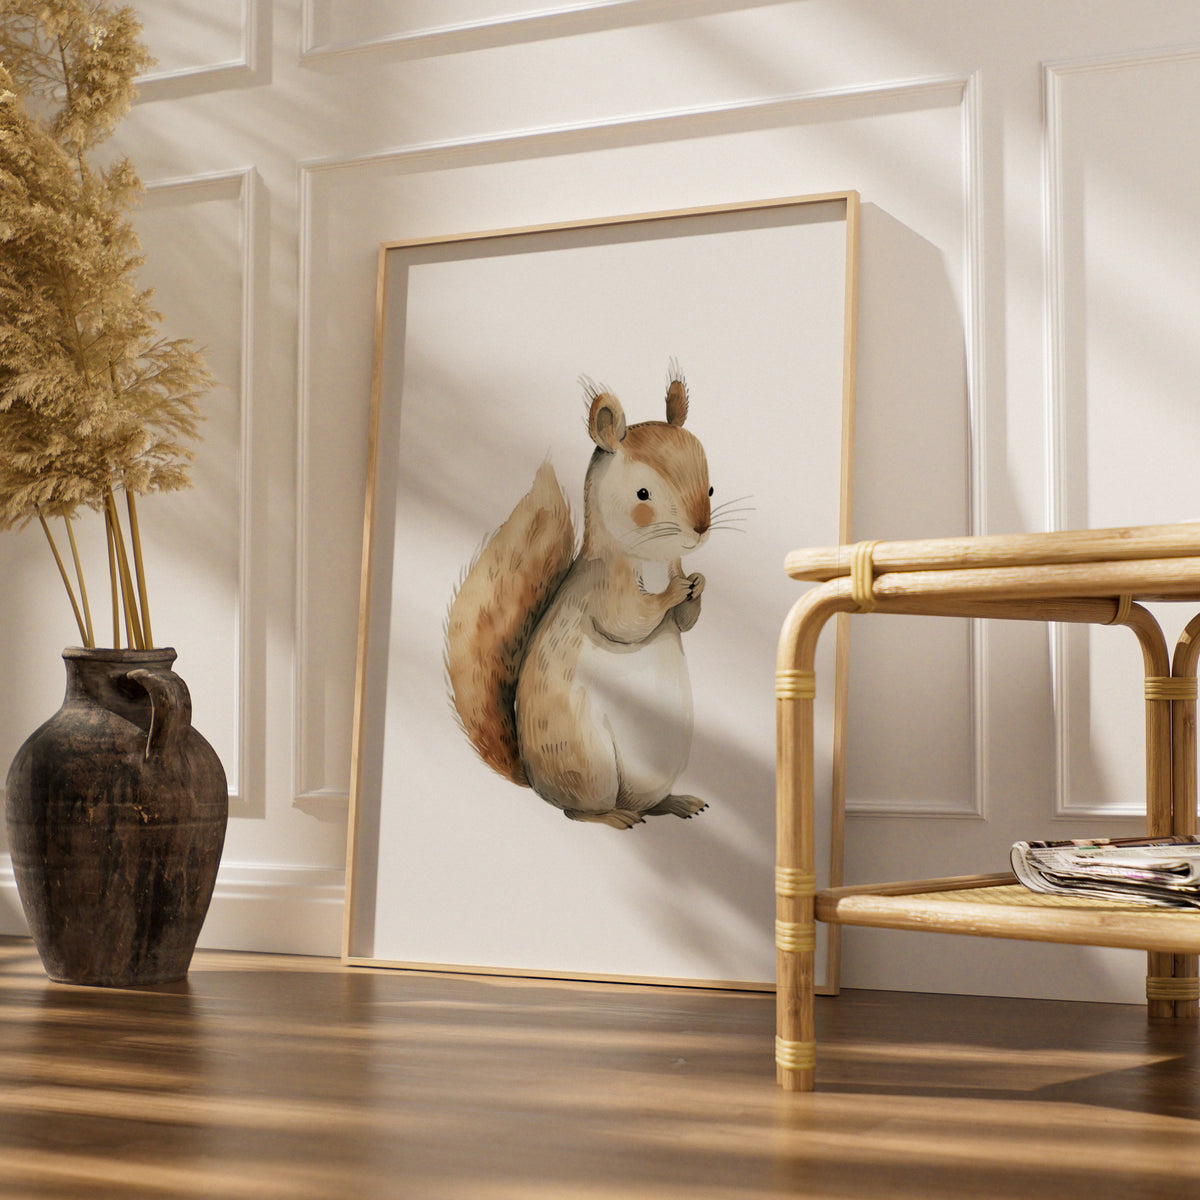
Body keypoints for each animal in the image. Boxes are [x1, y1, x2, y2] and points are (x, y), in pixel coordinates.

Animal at [445, 367, 713, 829]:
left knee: (646, 802)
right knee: (577, 811)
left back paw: (676, 803)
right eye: (643, 494)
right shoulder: (603, 590)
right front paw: (674, 592)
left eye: (711, 488)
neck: (653, 561)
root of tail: (535, 781)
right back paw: (613, 818)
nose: (701, 528)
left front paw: (698, 584)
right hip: (588, 763)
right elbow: (629, 619)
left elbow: (684, 621)